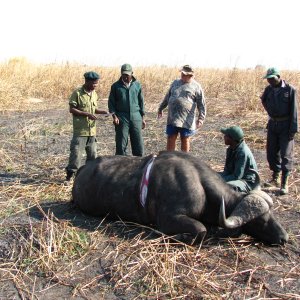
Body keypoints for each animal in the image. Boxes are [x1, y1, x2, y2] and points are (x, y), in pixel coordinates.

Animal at [72, 151, 288, 245]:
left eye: (272, 215)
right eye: (260, 220)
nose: (284, 237)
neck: (201, 186)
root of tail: (82, 169)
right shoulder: (169, 219)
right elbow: (201, 230)